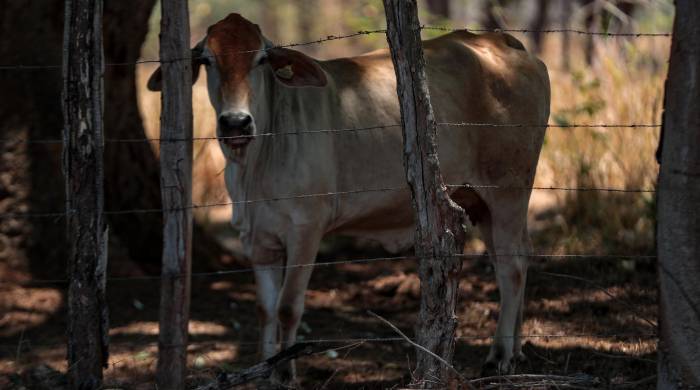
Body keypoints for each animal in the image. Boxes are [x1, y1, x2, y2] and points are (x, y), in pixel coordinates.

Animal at [149, 12, 552, 380]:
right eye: (207, 60)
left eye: (261, 59)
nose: (236, 122)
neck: (257, 159)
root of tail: (503, 42)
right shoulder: (257, 238)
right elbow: (265, 309)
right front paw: (263, 370)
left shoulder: (306, 230)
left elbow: (287, 307)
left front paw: (286, 372)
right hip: (478, 201)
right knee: (510, 258)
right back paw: (515, 351)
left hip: (508, 191)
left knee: (512, 265)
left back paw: (499, 355)